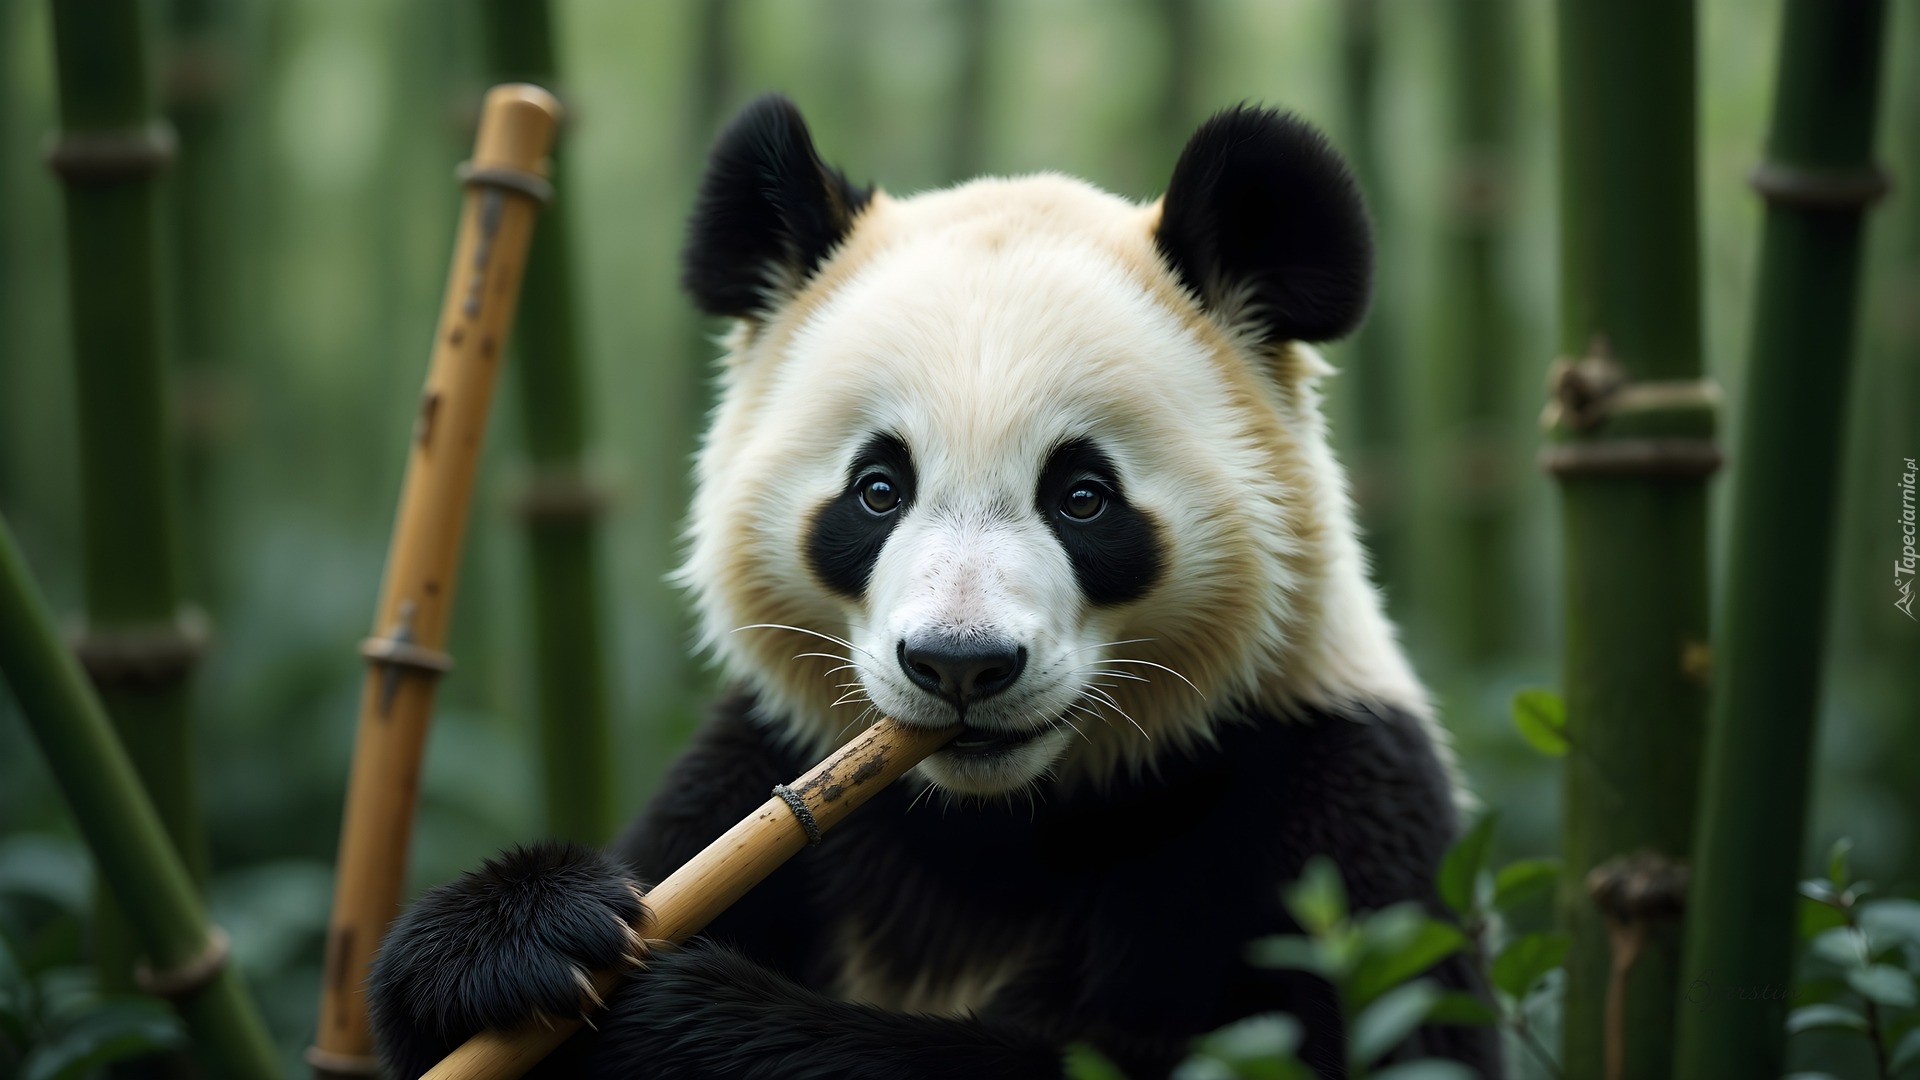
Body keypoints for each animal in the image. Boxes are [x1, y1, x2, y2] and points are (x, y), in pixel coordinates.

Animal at [368, 95, 1502, 1080]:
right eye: (878, 489)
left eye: (1083, 497)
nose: (961, 665)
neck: (995, 822)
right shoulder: (762, 766)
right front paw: (514, 943)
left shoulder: (1327, 802)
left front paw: (680, 1019)